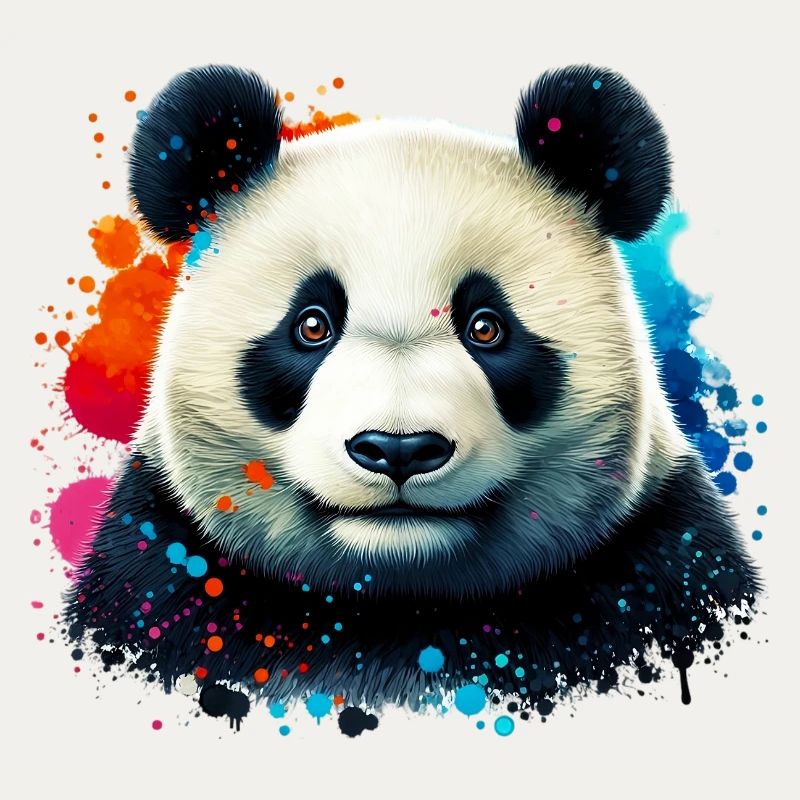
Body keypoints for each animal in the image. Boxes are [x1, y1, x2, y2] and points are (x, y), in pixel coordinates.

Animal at [68, 64, 759, 721]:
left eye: (487, 327)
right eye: (311, 325)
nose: (398, 449)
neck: (399, 601)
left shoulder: (656, 568)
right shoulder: (162, 572)